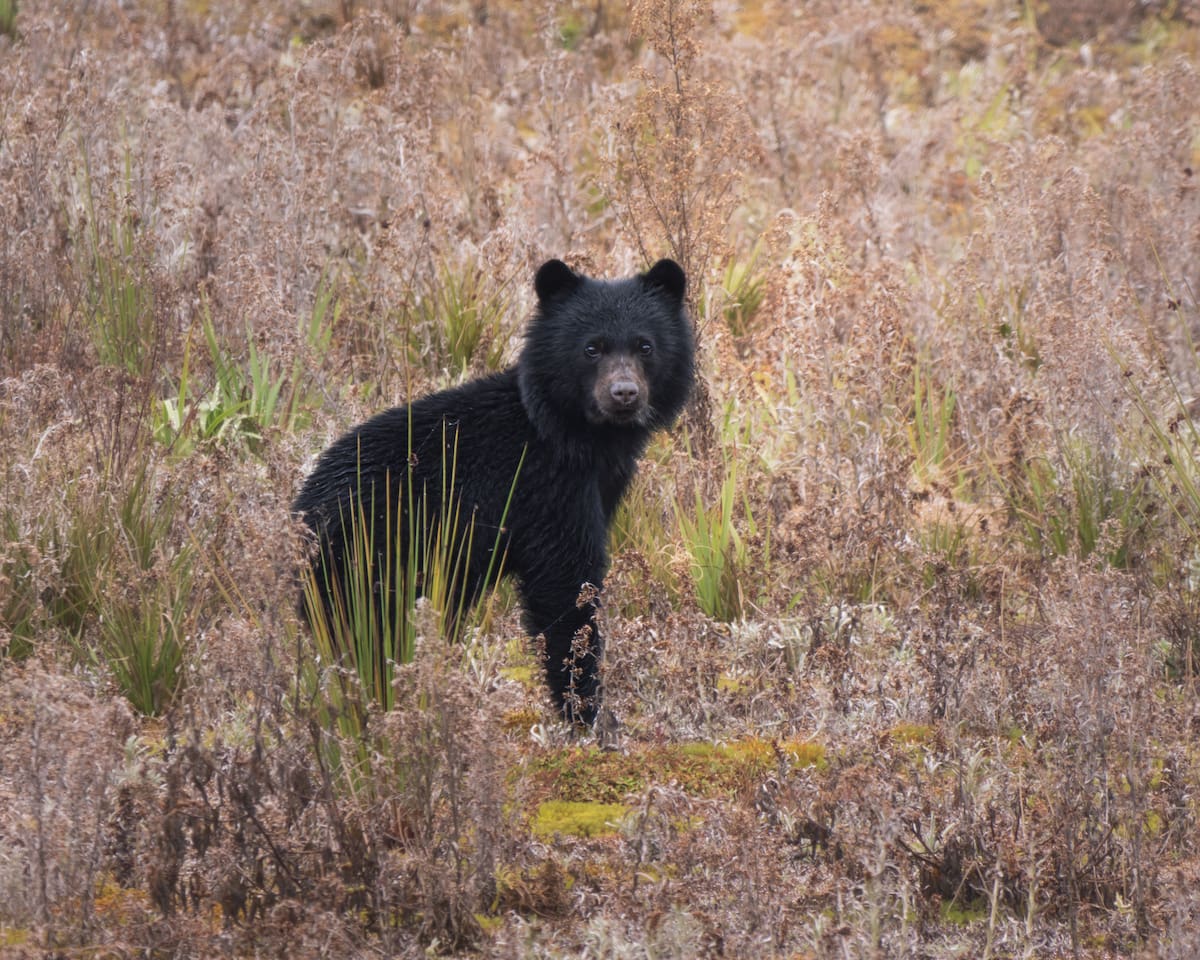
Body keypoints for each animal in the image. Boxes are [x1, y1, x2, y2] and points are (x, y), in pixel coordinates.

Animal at [293, 258, 694, 726]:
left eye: (645, 346)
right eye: (592, 348)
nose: (624, 394)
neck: (572, 436)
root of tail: (300, 515)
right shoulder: (547, 491)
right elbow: (565, 587)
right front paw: (586, 711)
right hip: (370, 560)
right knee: (373, 637)